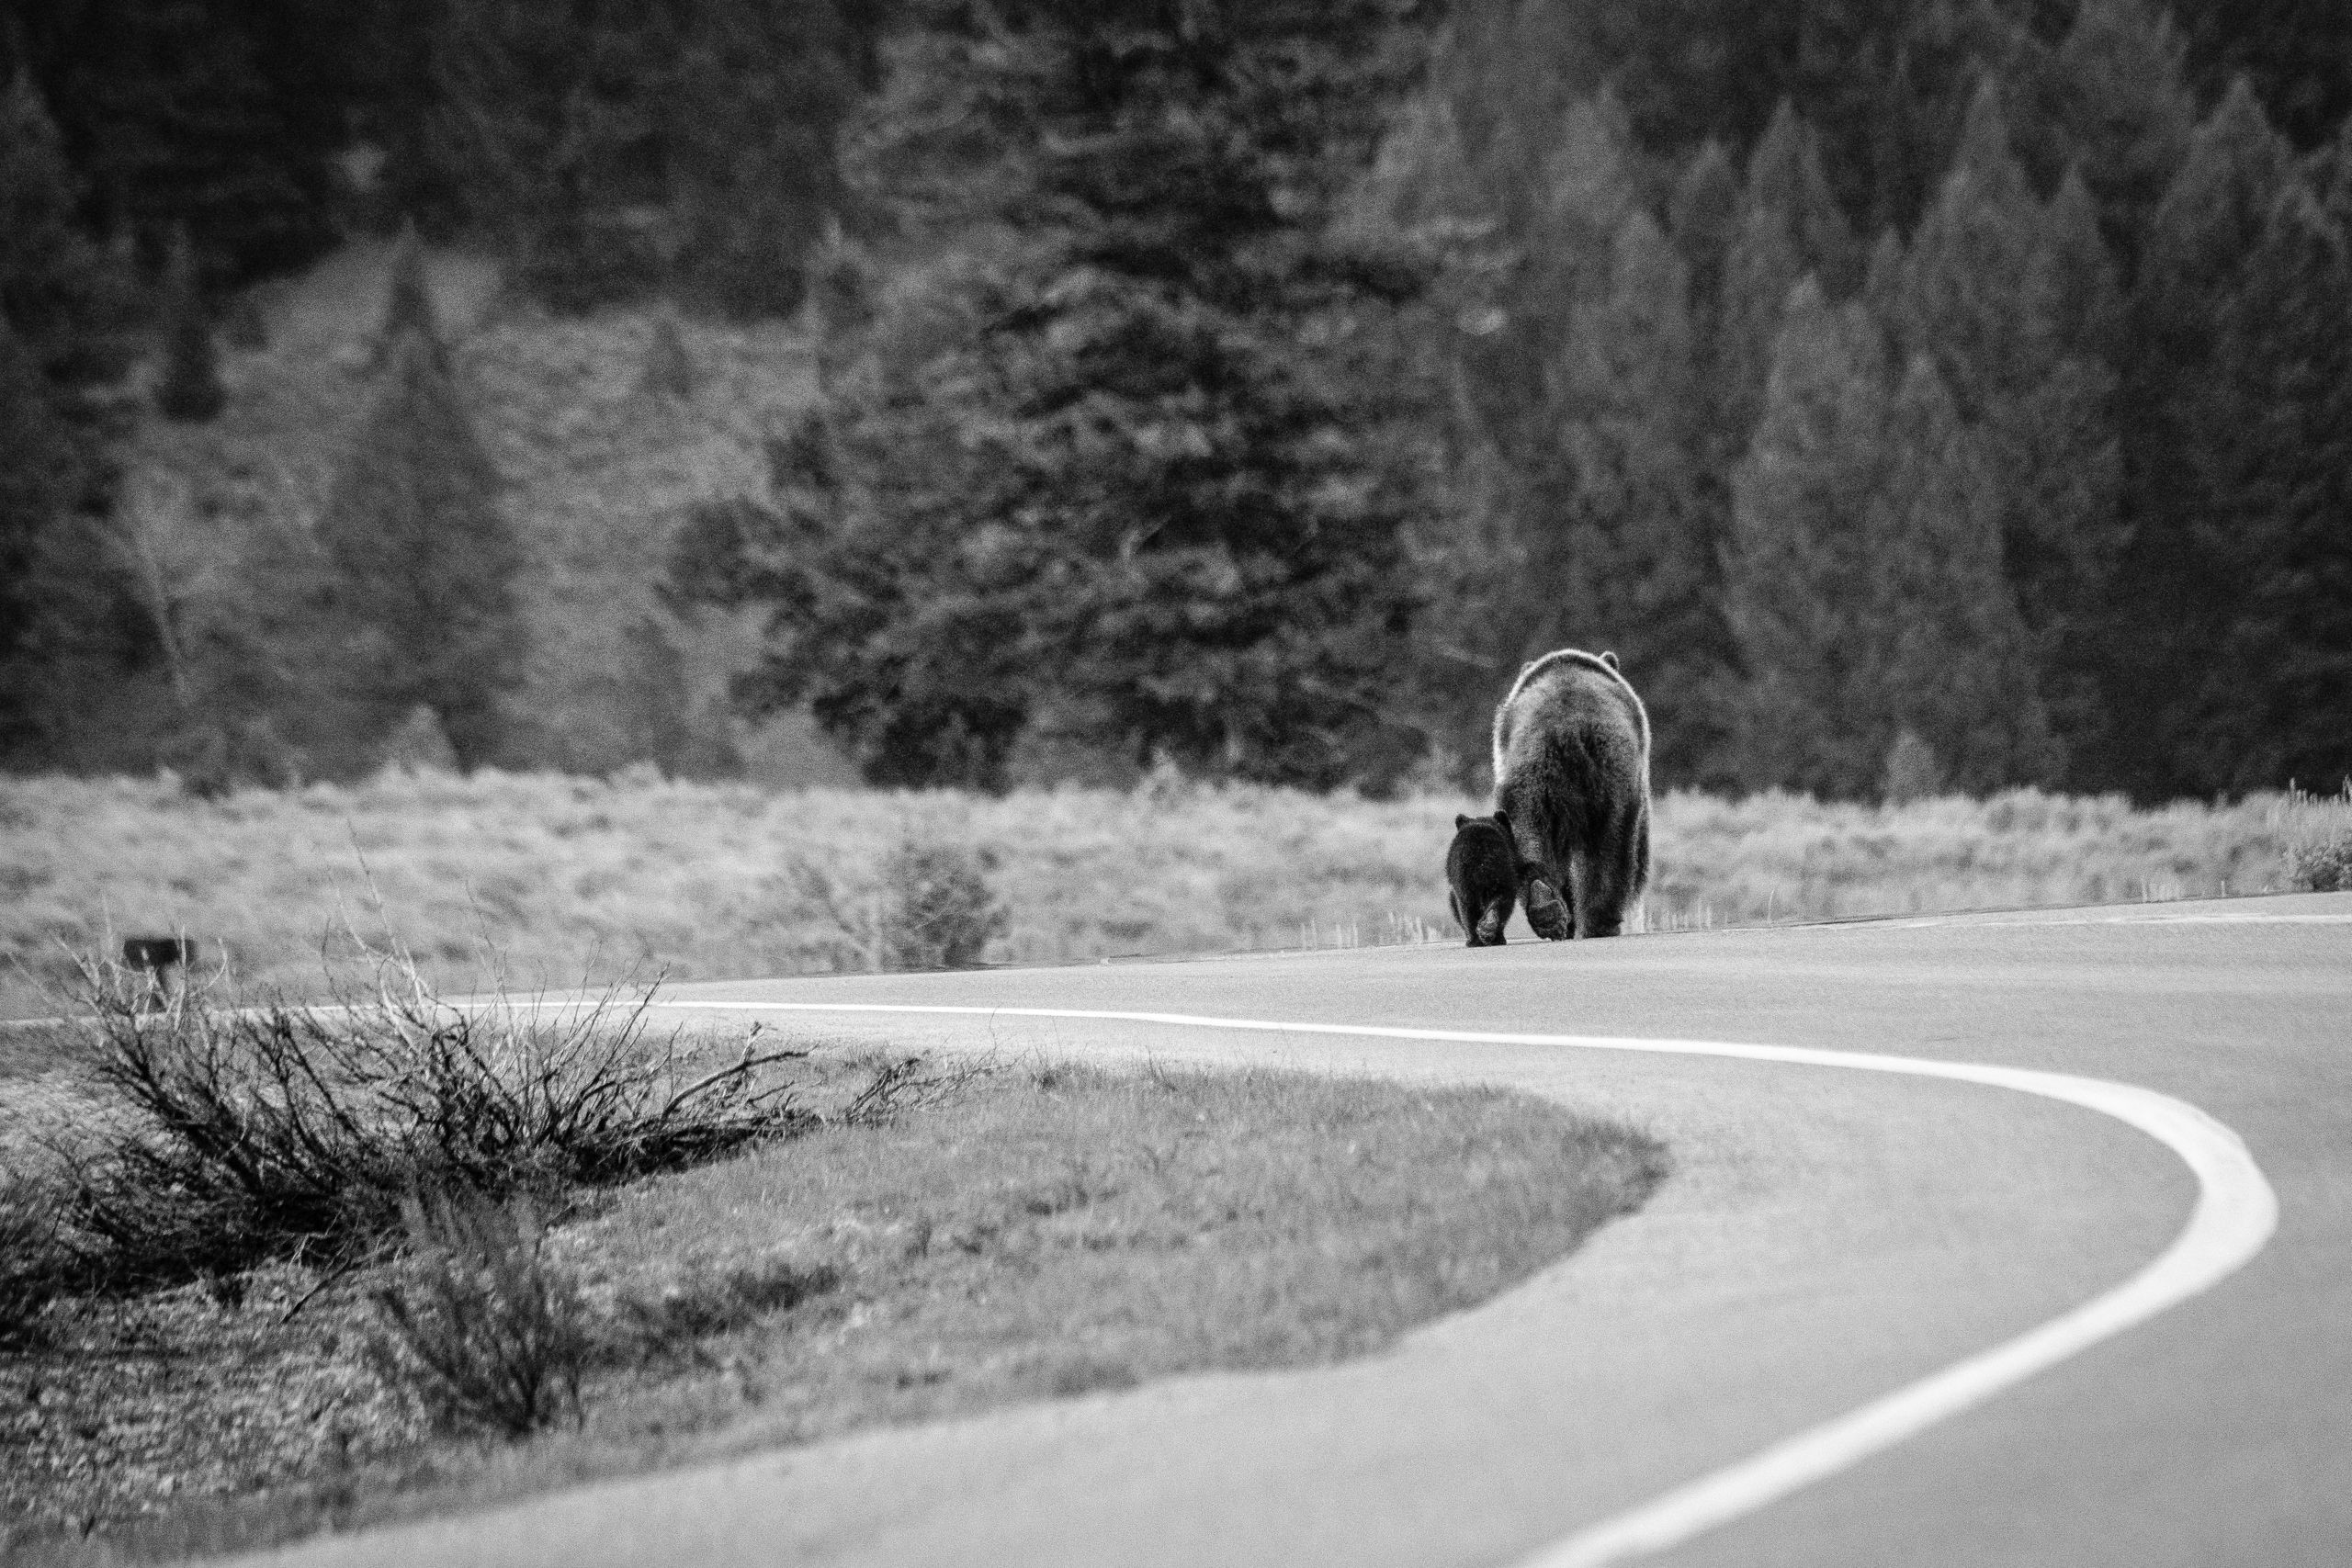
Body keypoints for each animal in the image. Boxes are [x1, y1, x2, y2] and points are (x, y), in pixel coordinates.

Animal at [1439, 818, 1514, 949]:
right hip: (1498, 875)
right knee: (1500, 899)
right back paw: (1486, 930)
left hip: (1466, 879)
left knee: (1467, 907)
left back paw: (1476, 939)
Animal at [1486, 649, 1656, 940]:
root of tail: (1566, 728)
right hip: (1611, 775)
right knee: (1613, 844)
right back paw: (1601, 922)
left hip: (1529, 772)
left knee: (1525, 831)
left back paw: (1546, 907)